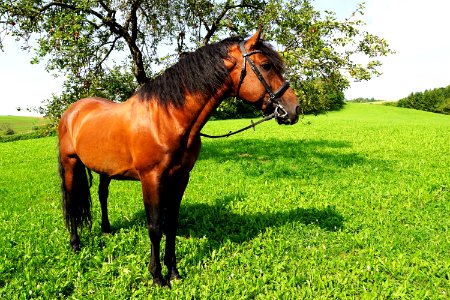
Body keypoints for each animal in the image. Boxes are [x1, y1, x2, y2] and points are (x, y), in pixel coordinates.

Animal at [58, 29, 300, 286]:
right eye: (266, 66)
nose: (294, 109)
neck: (167, 118)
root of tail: (72, 111)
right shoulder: (151, 179)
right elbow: (155, 227)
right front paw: (157, 277)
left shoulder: (181, 177)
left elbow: (171, 224)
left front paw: (173, 272)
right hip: (70, 163)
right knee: (71, 202)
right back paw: (75, 244)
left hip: (106, 170)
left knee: (102, 194)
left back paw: (106, 229)